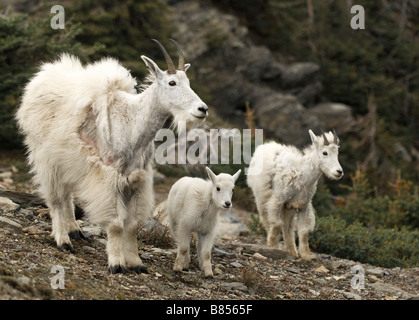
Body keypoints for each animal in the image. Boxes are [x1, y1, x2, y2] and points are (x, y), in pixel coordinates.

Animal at [16, 38, 208, 274]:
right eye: (172, 83)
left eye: (188, 81)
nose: (202, 109)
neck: (133, 123)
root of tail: (39, 79)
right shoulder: (108, 179)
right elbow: (116, 224)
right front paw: (117, 263)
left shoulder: (137, 180)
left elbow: (133, 225)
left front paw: (135, 262)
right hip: (45, 157)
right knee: (55, 199)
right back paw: (63, 240)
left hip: (67, 161)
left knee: (67, 195)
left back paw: (74, 230)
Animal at [248, 130, 342, 260]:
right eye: (325, 153)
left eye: (337, 153)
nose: (339, 172)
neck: (303, 175)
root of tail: (263, 146)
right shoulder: (278, 200)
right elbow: (277, 223)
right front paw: (273, 245)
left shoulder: (303, 205)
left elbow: (303, 230)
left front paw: (306, 255)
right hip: (261, 198)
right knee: (267, 220)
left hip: (289, 208)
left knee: (288, 226)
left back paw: (291, 251)